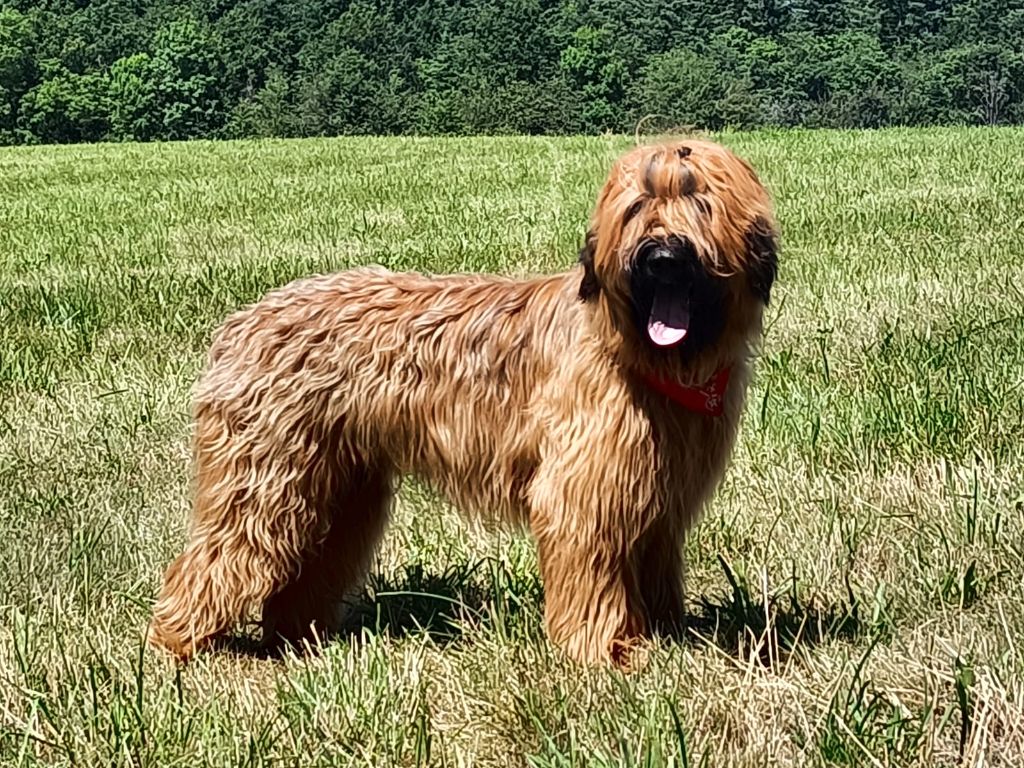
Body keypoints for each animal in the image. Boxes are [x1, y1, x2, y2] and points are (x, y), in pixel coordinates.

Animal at [148, 138, 778, 667]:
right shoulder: (582, 493)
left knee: (304, 571)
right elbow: (594, 576)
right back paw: (177, 645)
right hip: (265, 480)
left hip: (339, 487)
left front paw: (665, 633)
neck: (641, 356)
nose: (662, 258)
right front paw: (604, 650)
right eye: (639, 205)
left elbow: (654, 567)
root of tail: (241, 322)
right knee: (213, 559)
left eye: (700, 201)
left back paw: (298, 640)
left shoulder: (654, 497)